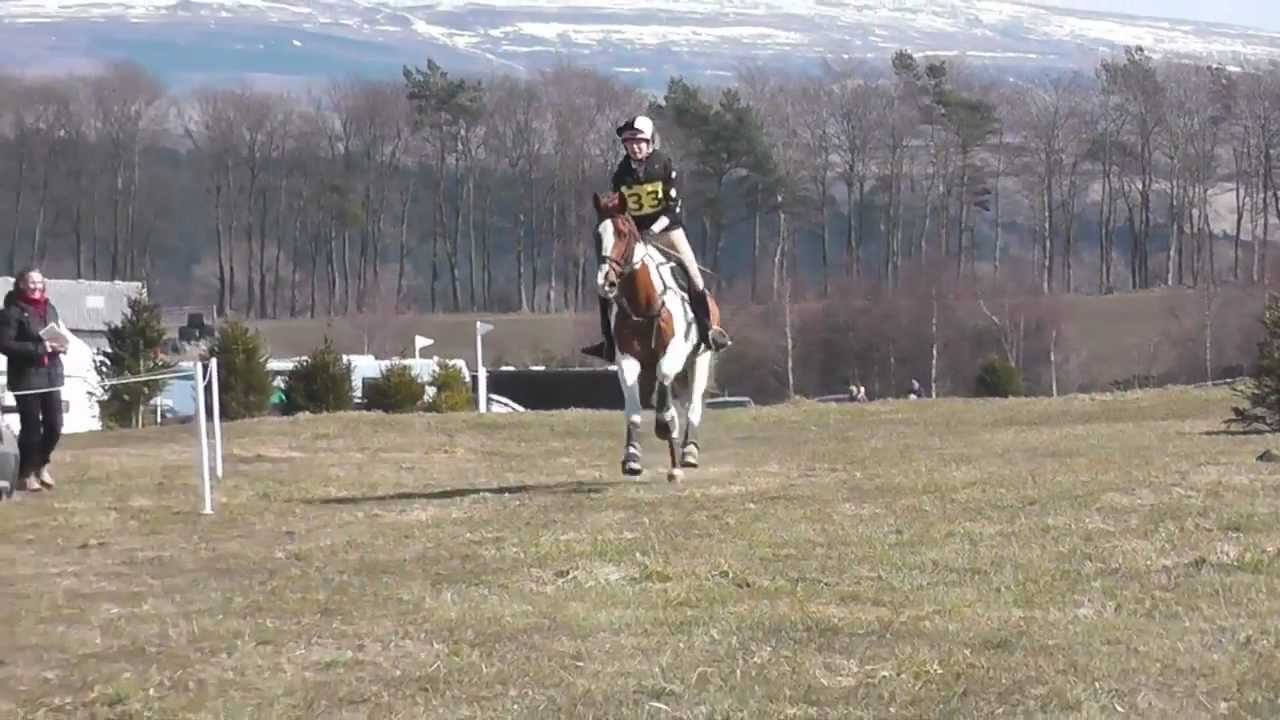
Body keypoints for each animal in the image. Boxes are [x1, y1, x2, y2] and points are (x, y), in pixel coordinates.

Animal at [592, 191, 718, 482]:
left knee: (693, 405)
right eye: (597, 235)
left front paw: (667, 425)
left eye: (623, 234)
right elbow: (634, 409)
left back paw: (687, 453)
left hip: (701, 358)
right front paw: (632, 458)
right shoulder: (627, 360)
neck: (644, 303)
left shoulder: (674, 354)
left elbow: (665, 390)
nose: (606, 282)